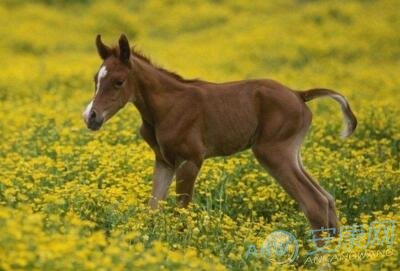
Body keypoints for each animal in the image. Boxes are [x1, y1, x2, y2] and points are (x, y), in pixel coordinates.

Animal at [83, 33, 358, 238]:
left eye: (119, 81)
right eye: (96, 78)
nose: (91, 116)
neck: (166, 106)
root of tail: (299, 94)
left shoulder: (191, 161)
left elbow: (182, 210)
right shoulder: (164, 161)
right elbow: (153, 209)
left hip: (273, 153)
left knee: (315, 204)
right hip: (292, 155)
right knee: (328, 199)